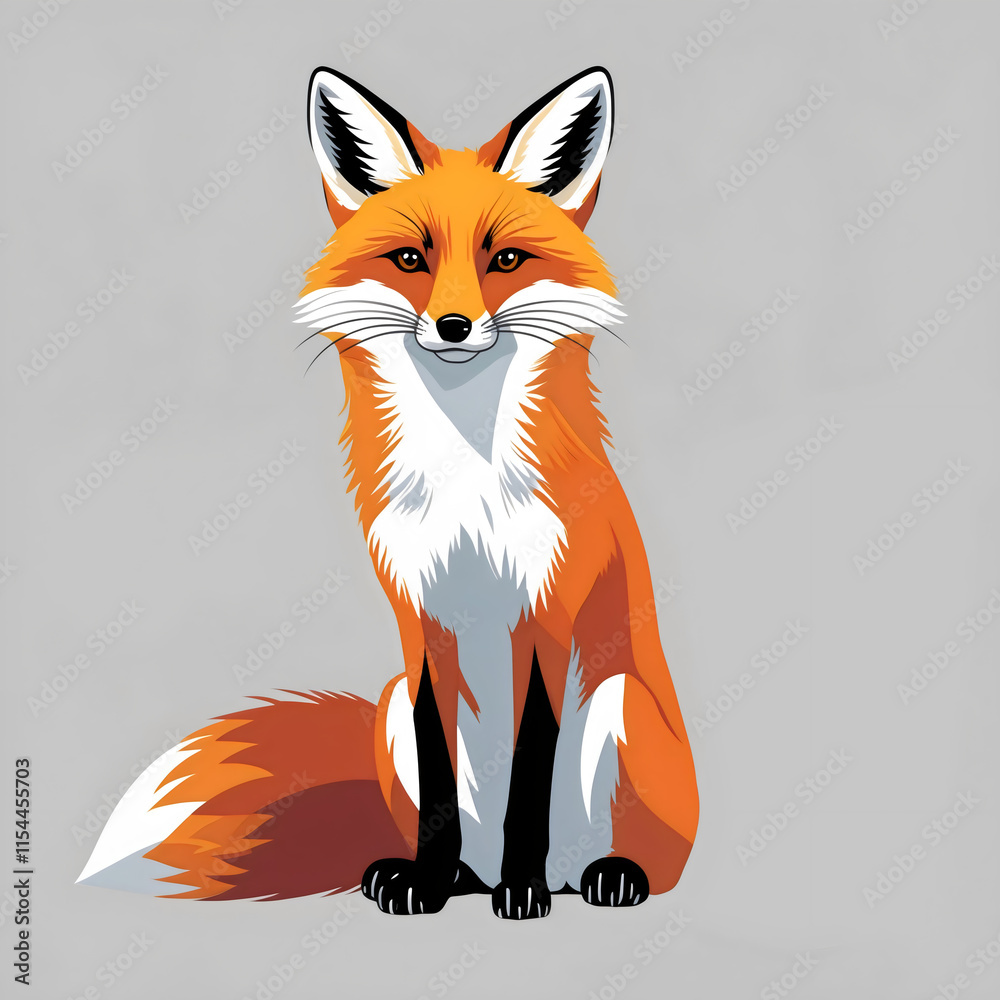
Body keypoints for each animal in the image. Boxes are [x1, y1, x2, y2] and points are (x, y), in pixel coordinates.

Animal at [77, 66, 699, 919]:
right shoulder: (420, 620)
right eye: (410, 258)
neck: (465, 476)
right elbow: (439, 773)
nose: (454, 325)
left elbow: (529, 777)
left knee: (638, 862)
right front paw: (428, 883)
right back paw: (462, 877)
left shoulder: (548, 613)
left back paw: (600, 874)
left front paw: (525, 890)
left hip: (618, 704)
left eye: (506, 259)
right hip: (391, 705)